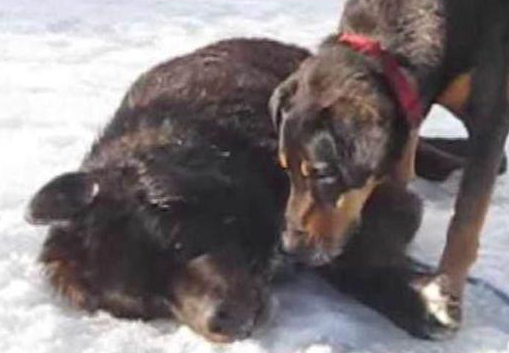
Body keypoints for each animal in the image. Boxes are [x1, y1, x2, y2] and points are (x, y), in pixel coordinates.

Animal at [272, 0, 508, 340]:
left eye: (323, 173)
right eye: (286, 168)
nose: (289, 247)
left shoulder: (490, 119)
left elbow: (465, 223)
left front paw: (447, 288)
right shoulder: (409, 112)